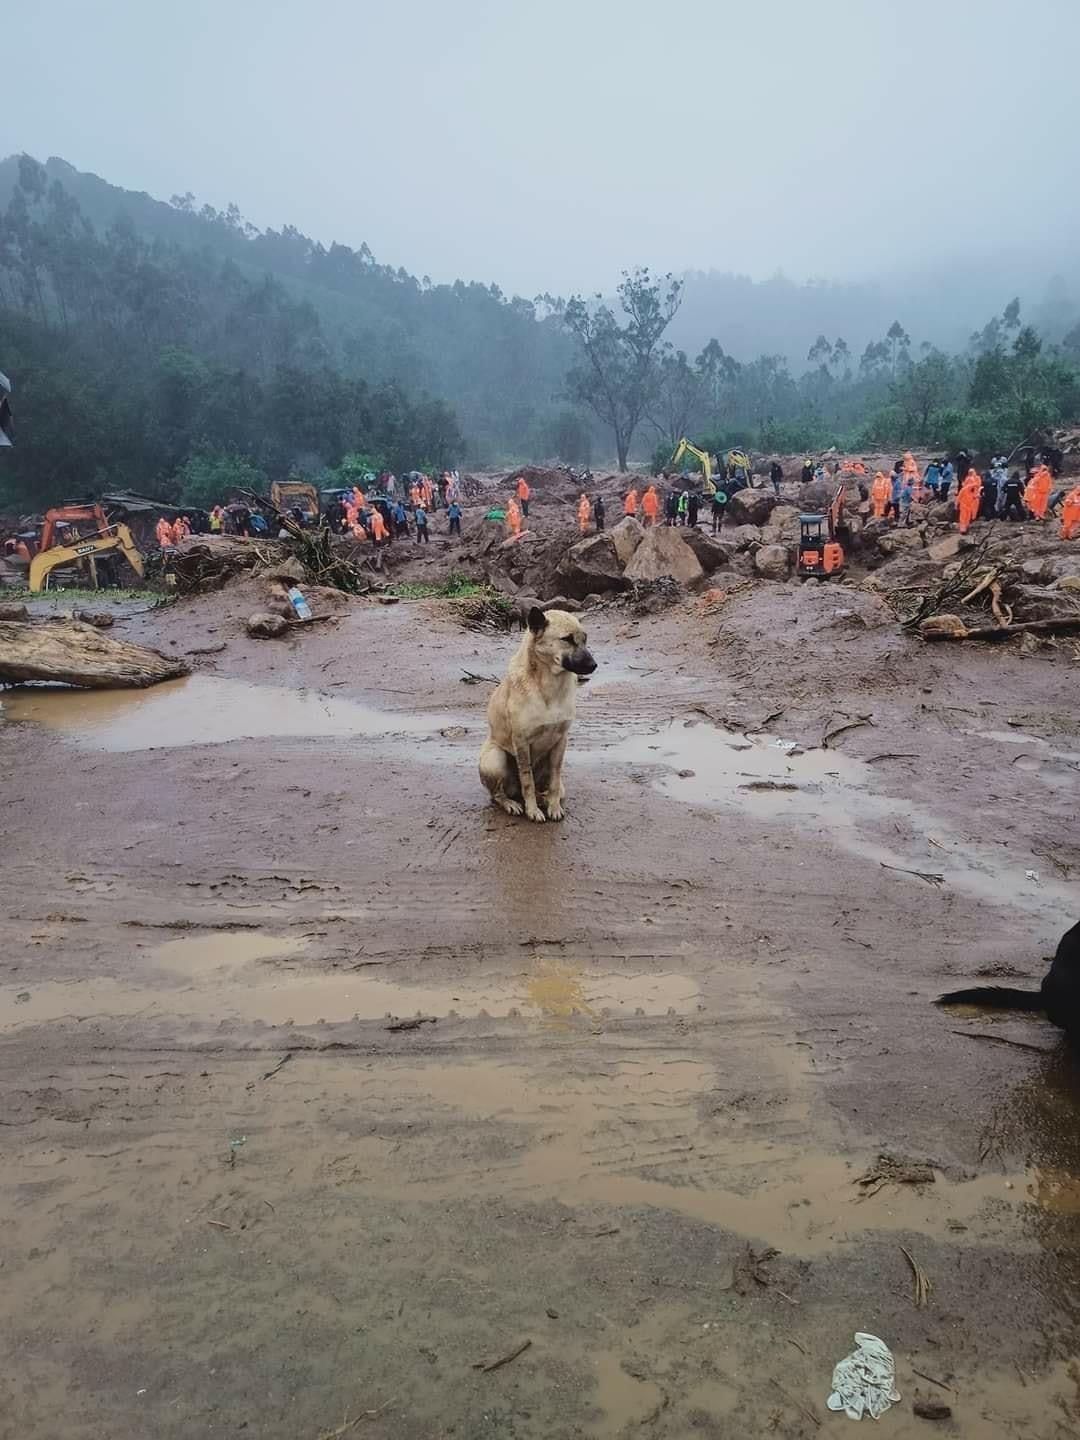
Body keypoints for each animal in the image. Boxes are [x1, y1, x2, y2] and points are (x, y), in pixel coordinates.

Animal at [480, 607, 601, 823]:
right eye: (567, 639)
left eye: (585, 639)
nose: (593, 665)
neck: (549, 686)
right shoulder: (521, 741)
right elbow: (527, 779)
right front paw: (532, 810)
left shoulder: (561, 741)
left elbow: (555, 778)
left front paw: (553, 806)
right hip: (495, 759)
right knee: (498, 794)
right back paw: (512, 803)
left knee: (552, 788)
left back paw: (543, 799)